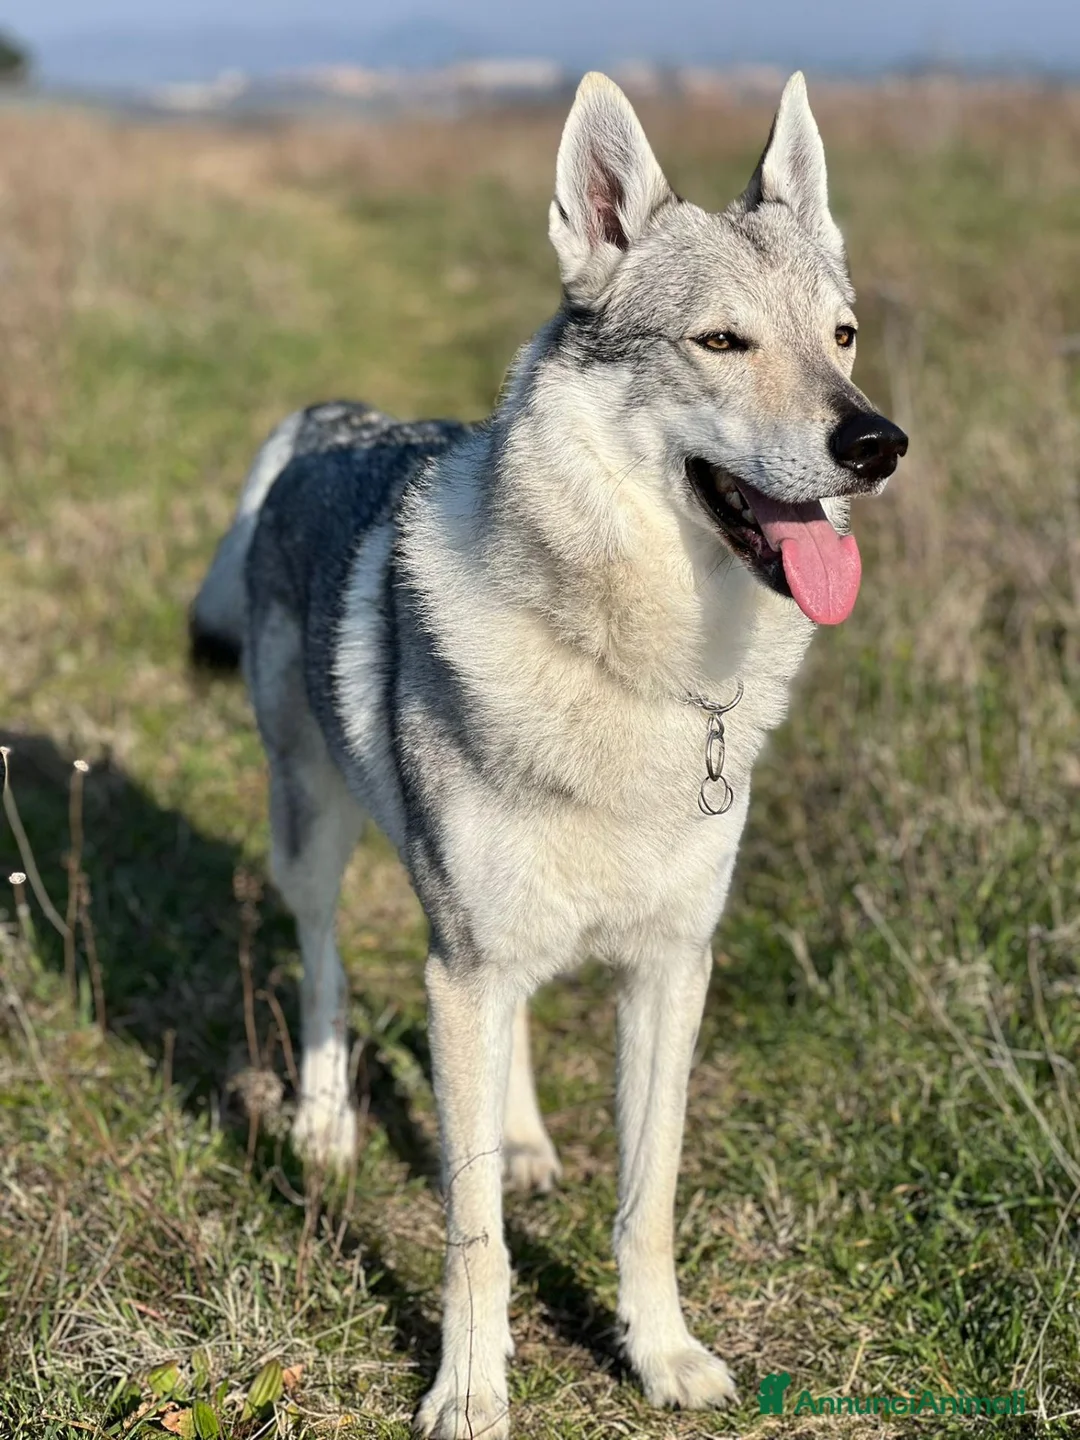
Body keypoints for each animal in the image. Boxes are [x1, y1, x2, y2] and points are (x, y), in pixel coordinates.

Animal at [191, 71, 907, 1438]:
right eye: (722, 343)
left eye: (842, 337)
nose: (877, 446)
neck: (644, 671)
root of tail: (326, 421)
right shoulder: (459, 963)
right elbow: (470, 1234)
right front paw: (469, 1391)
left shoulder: (670, 967)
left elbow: (648, 1199)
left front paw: (663, 1355)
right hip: (318, 842)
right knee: (322, 971)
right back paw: (322, 1124)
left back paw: (520, 1142)